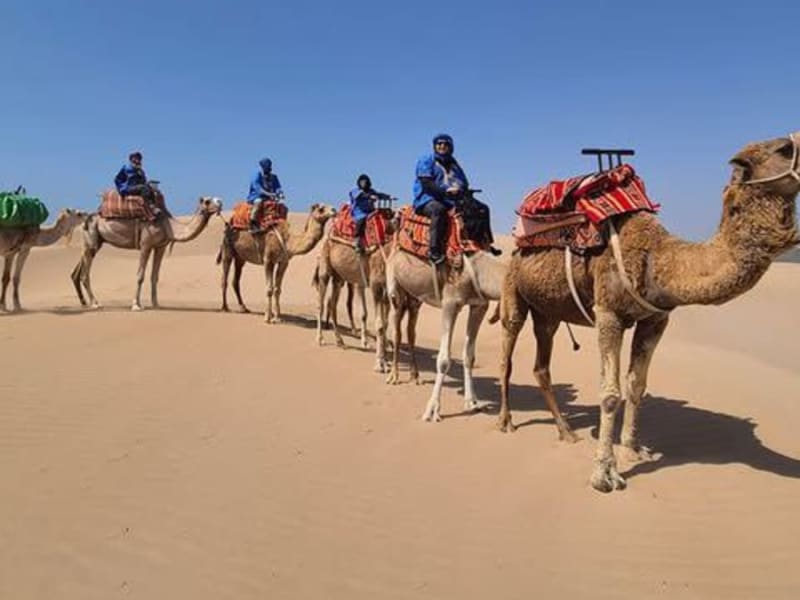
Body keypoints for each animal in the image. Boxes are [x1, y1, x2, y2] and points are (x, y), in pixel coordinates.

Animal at [71, 197, 222, 311]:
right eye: (207, 201)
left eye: (216, 199)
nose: (220, 203)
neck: (168, 226)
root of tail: (85, 218)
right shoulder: (146, 244)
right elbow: (140, 276)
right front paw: (136, 305)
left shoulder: (160, 247)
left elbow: (155, 276)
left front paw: (156, 304)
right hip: (91, 239)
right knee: (85, 274)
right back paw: (95, 303)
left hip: (96, 242)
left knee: (79, 270)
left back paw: (85, 302)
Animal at [386, 246, 507, 421]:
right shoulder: (450, 303)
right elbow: (443, 360)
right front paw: (432, 409)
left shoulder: (479, 305)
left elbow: (469, 356)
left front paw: (472, 402)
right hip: (395, 288)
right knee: (396, 331)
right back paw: (393, 376)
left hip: (414, 296)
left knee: (410, 330)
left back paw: (415, 377)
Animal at [497, 132, 800, 493]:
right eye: (785, 148)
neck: (659, 260)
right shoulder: (608, 313)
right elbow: (610, 393)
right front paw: (604, 474)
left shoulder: (656, 319)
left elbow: (636, 385)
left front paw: (631, 450)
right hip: (513, 293)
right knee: (507, 356)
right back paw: (506, 421)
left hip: (548, 313)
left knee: (541, 366)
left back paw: (566, 432)